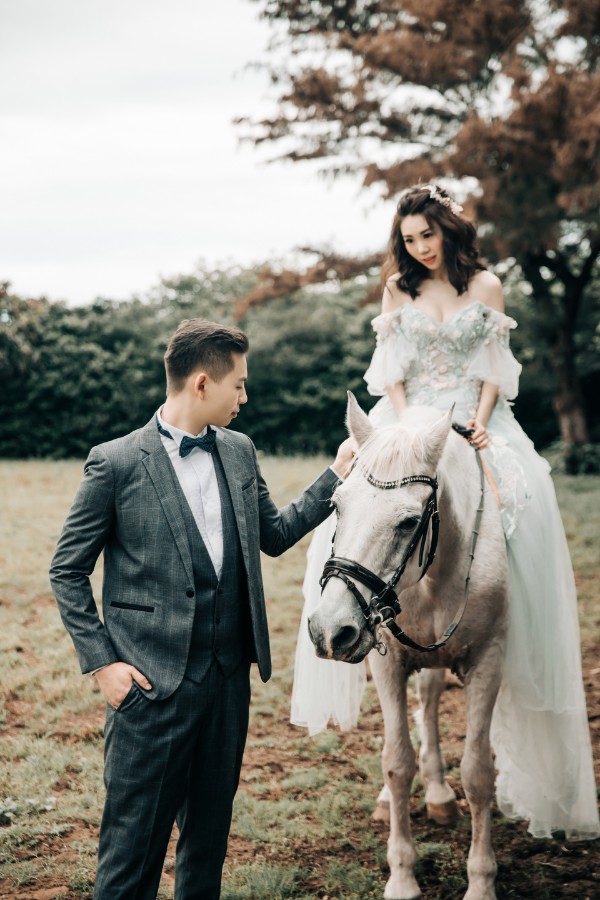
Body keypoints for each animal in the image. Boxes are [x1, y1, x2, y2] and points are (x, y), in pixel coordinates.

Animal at [312, 398, 508, 900]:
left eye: (407, 522)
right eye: (336, 506)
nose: (329, 630)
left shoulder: (488, 662)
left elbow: (479, 773)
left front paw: (481, 882)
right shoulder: (389, 666)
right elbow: (397, 764)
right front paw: (401, 876)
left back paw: (439, 793)